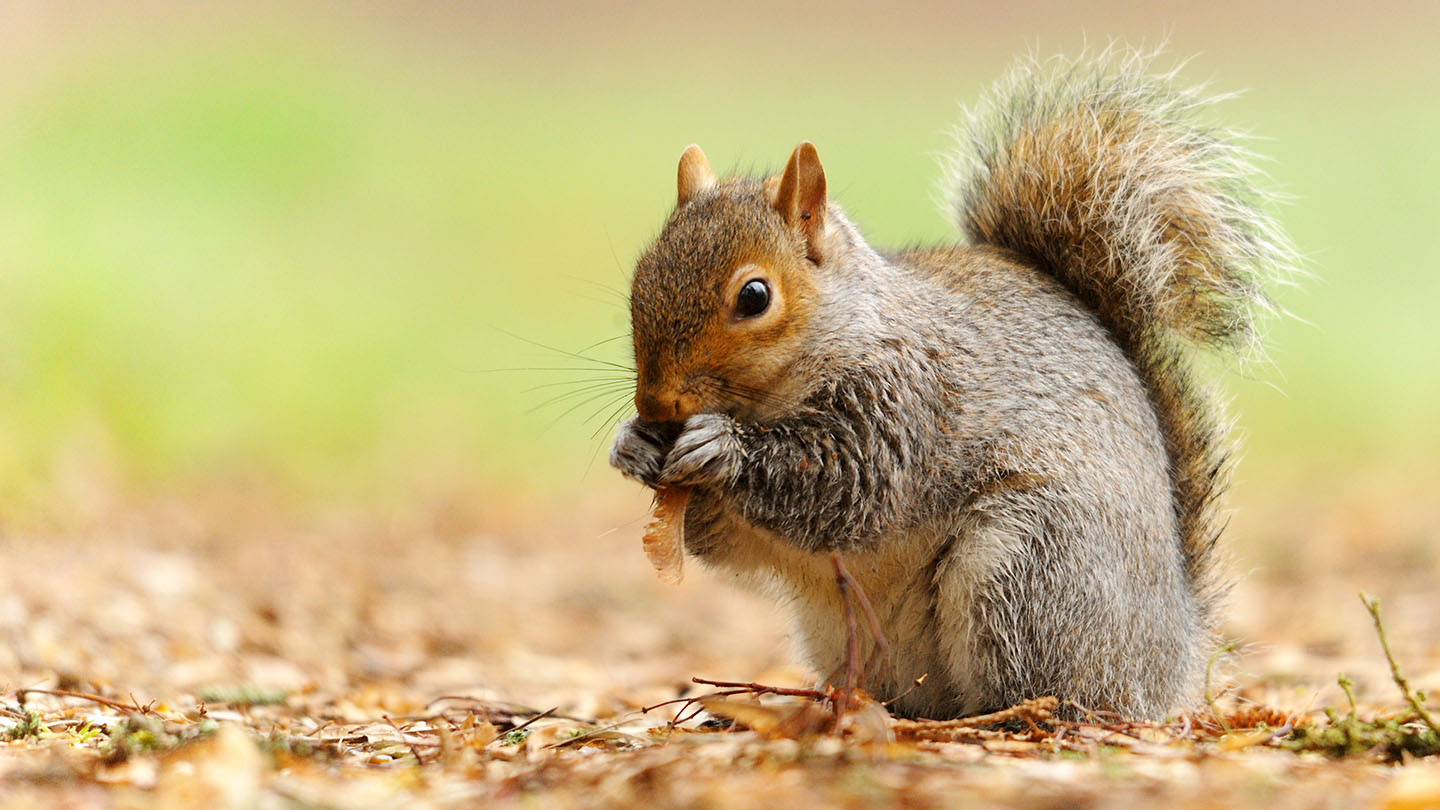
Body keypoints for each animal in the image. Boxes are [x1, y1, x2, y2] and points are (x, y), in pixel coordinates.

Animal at [609, 49, 1295, 720]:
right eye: (640, 277)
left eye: (754, 296)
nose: (656, 404)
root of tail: (1171, 658)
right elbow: (721, 540)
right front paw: (633, 445)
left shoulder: (908, 402)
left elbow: (848, 488)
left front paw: (721, 448)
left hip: (1031, 566)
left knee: (1056, 688)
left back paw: (1008, 714)